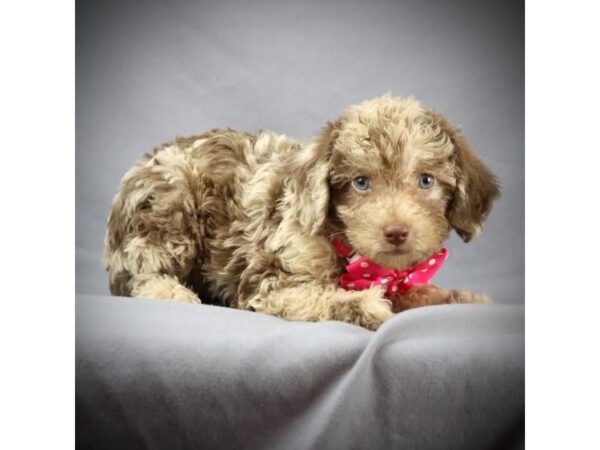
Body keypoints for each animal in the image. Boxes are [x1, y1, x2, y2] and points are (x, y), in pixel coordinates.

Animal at [105, 95, 500, 330]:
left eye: (425, 180)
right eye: (361, 182)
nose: (397, 232)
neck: (340, 240)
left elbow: (418, 294)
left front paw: (460, 299)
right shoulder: (271, 284)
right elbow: (316, 297)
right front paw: (361, 305)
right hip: (169, 207)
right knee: (140, 277)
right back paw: (172, 293)